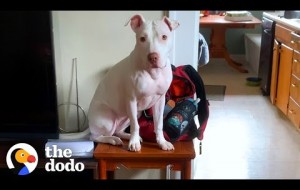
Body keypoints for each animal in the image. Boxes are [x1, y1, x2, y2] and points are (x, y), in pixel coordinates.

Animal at [88, 14, 179, 151]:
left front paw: (162, 142)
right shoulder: (131, 100)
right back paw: (113, 139)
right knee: (95, 136)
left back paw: (125, 136)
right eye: (142, 38)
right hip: (108, 118)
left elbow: (158, 124)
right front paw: (134, 142)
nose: (153, 57)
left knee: (118, 130)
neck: (152, 73)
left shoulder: (160, 101)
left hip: (131, 115)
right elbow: (136, 126)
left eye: (164, 37)